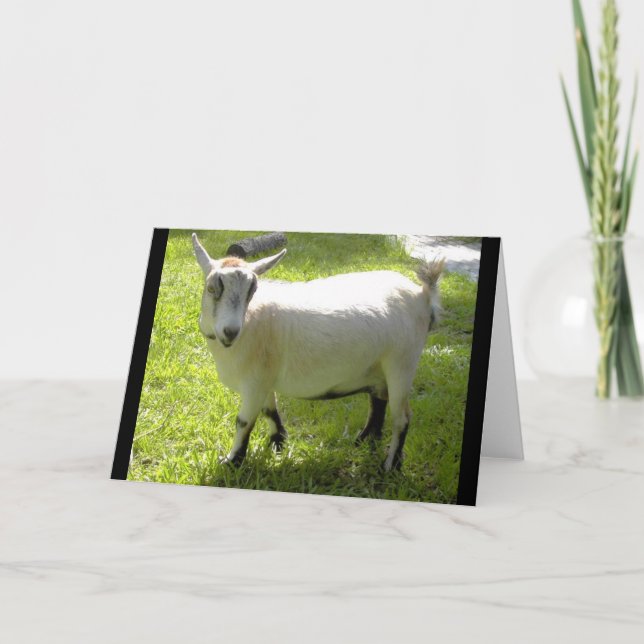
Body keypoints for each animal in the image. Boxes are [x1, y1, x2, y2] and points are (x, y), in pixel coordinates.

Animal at [192, 233, 444, 471]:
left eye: (252, 291)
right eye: (211, 288)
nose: (230, 332)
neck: (252, 320)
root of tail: (423, 295)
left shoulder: (254, 383)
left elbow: (243, 421)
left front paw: (232, 461)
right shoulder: (264, 379)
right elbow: (270, 410)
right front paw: (277, 443)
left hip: (402, 363)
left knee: (402, 417)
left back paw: (391, 465)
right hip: (379, 366)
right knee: (378, 401)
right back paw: (363, 442)